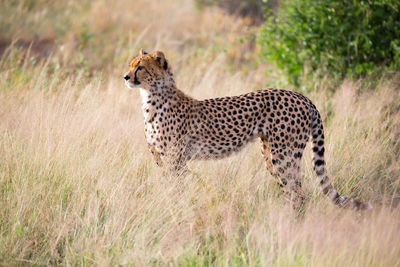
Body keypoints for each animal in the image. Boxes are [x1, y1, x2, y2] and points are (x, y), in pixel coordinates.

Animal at [123, 49, 370, 210]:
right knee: (292, 191)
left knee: (299, 193)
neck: (151, 97)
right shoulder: (161, 158)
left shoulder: (175, 158)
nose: (125, 76)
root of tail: (302, 96)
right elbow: (167, 185)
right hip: (271, 154)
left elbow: (176, 188)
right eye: (130, 65)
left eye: (140, 67)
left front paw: (175, 208)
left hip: (284, 155)